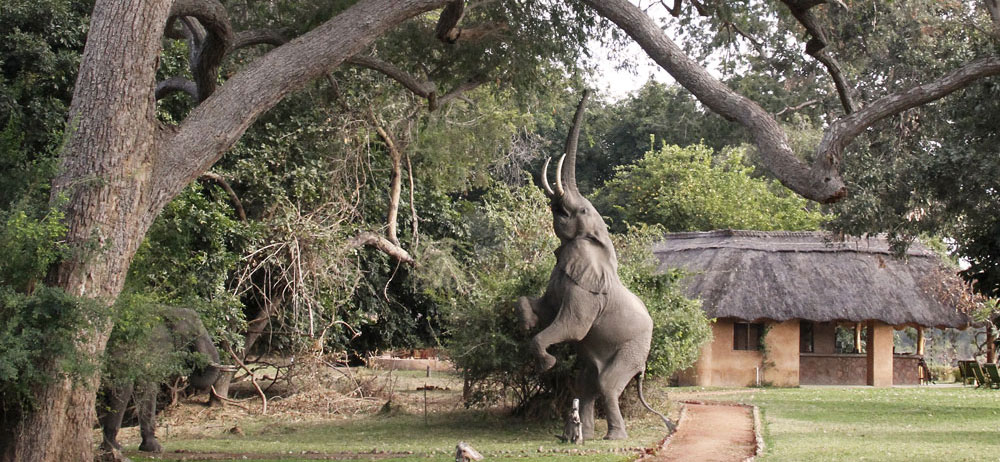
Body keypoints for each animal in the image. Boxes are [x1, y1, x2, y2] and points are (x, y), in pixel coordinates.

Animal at [516, 91, 672, 440]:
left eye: (584, 210)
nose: (587, 90)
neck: (599, 242)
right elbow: (542, 307)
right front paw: (528, 322)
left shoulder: (587, 294)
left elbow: (571, 326)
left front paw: (547, 364)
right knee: (585, 382)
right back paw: (580, 434)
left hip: (634, 347)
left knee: (607, 383)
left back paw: (614, 437)